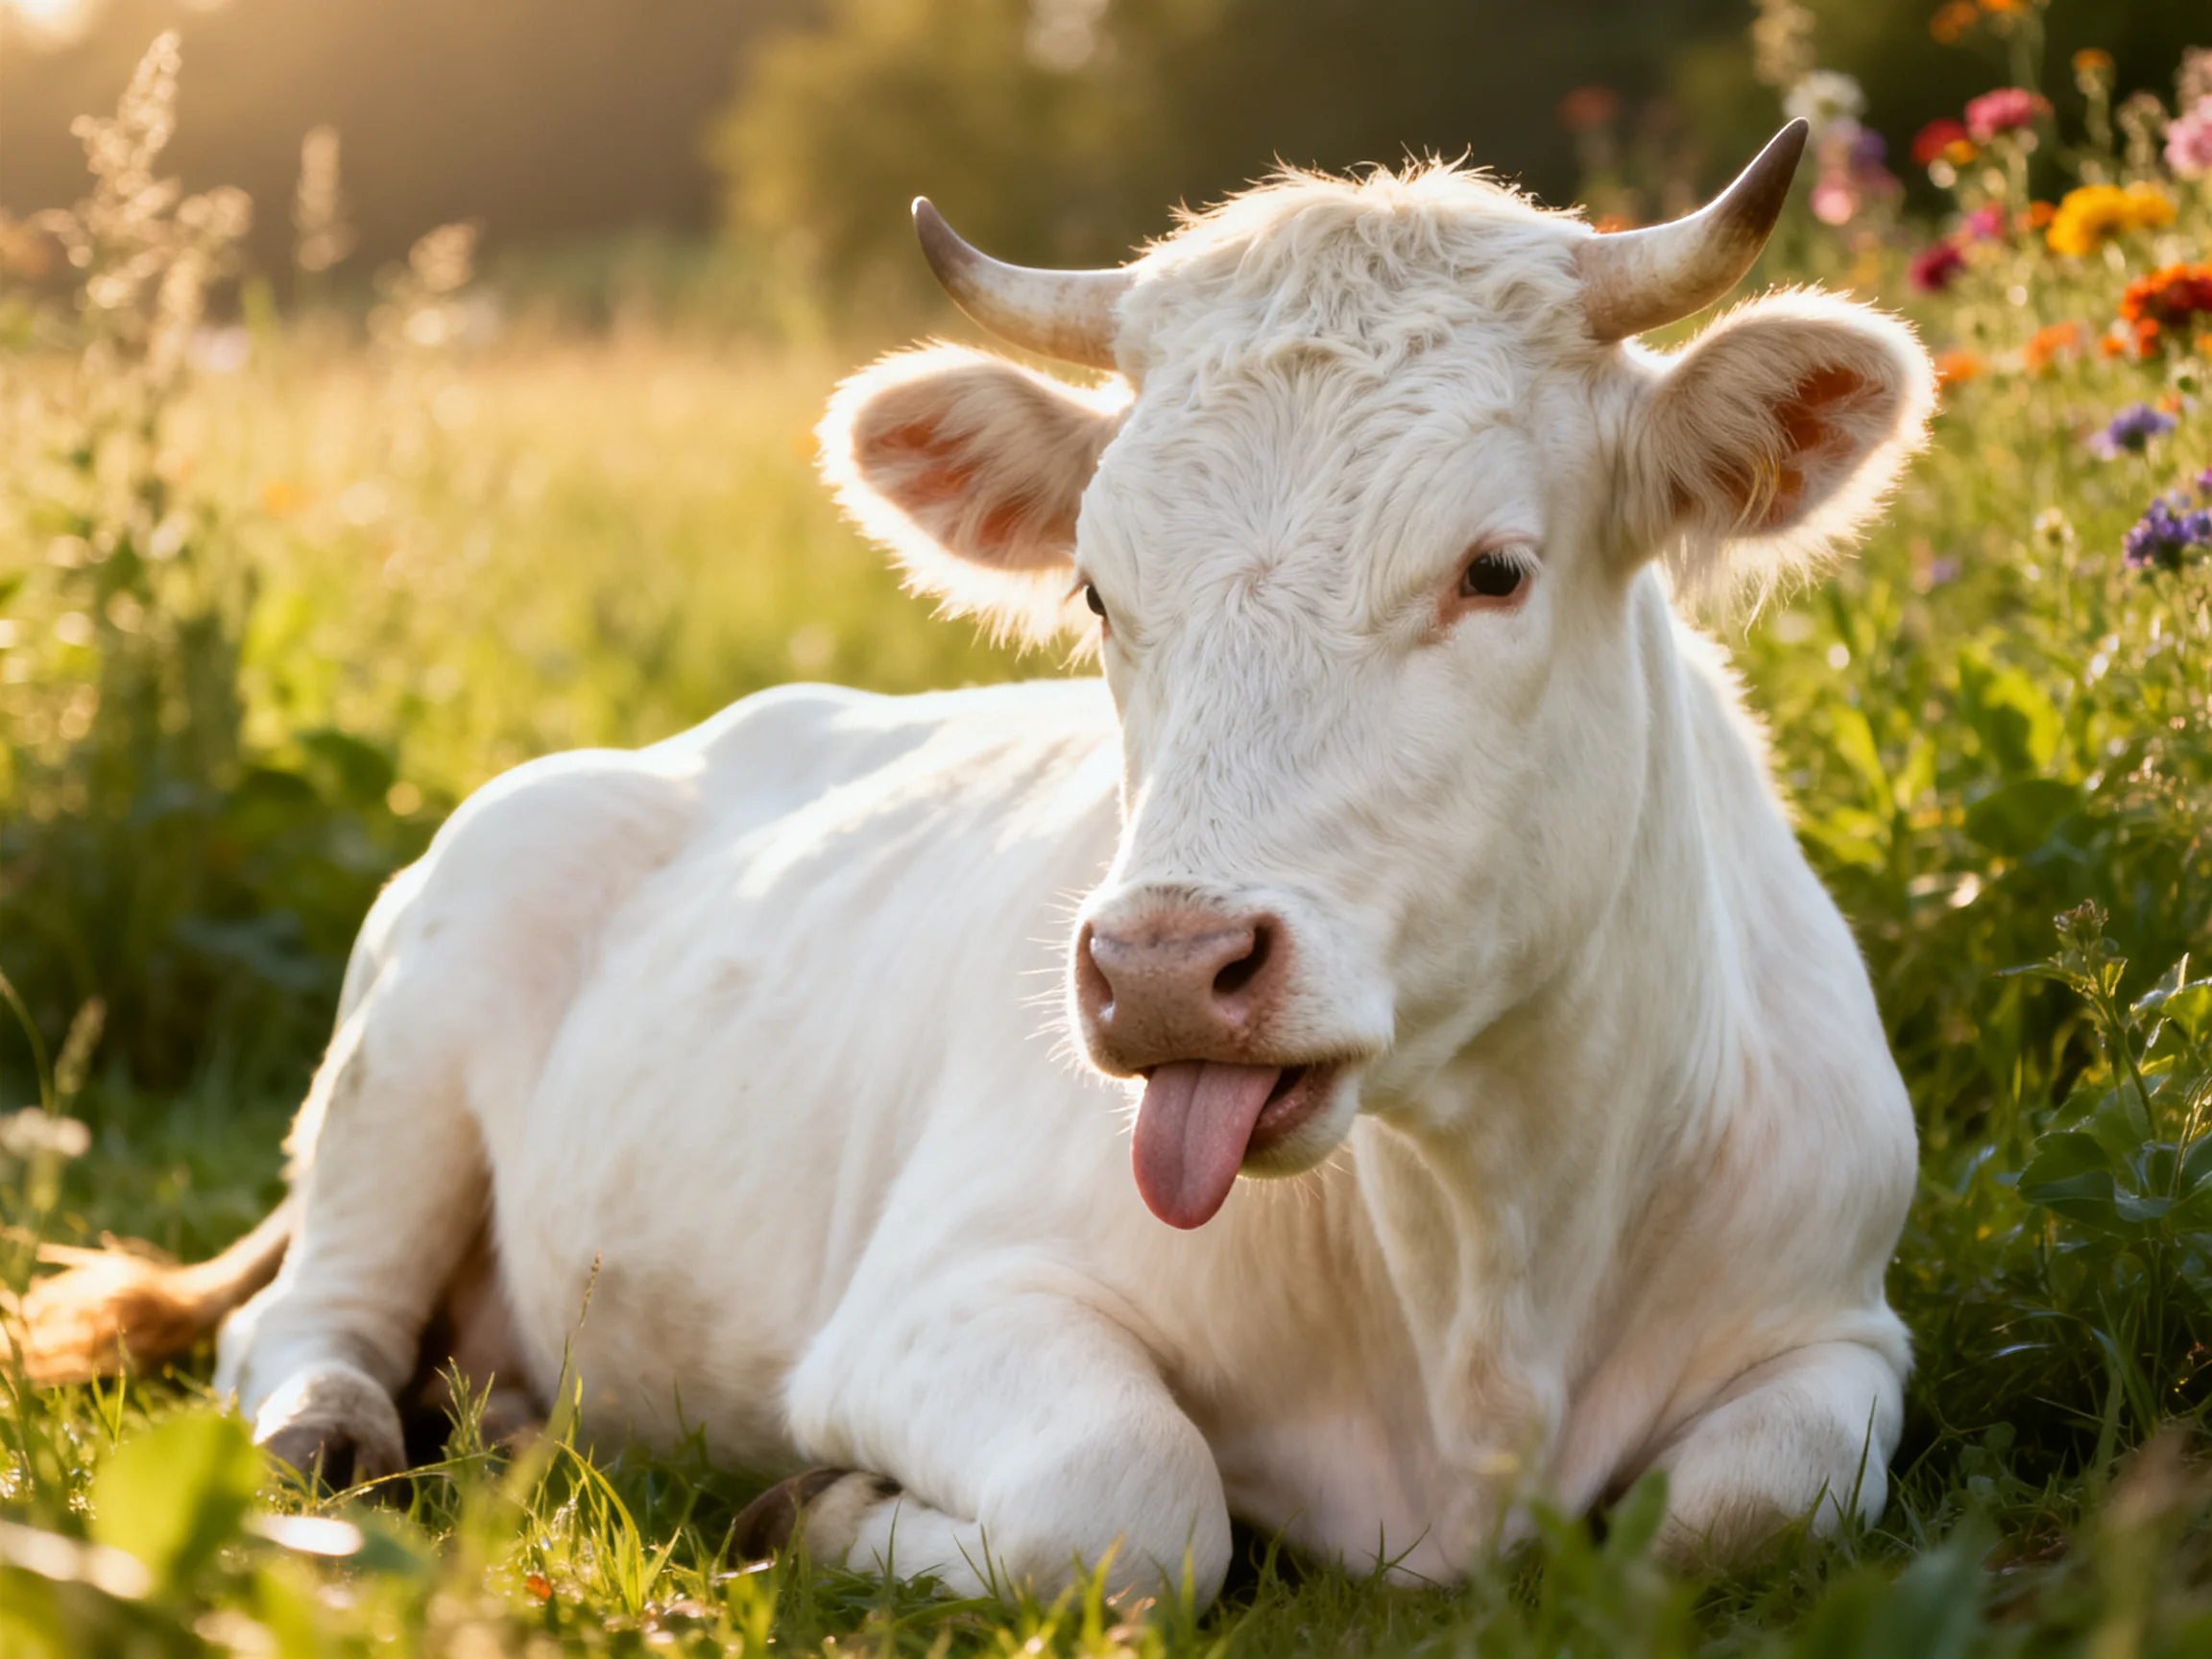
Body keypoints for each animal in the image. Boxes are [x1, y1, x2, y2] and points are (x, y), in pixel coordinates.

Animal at [10, 119, 1932, 1604]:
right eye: (1097, 589)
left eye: (1493, 570)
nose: (1166, 966)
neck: (1482, 1276)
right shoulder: (928, 1304)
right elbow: (1131, 1503)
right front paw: (819, 1506)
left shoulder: (1835, 1324)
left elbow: (1737, 1512)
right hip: (407, 1039)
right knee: (301, 1322)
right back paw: (338, 1434)